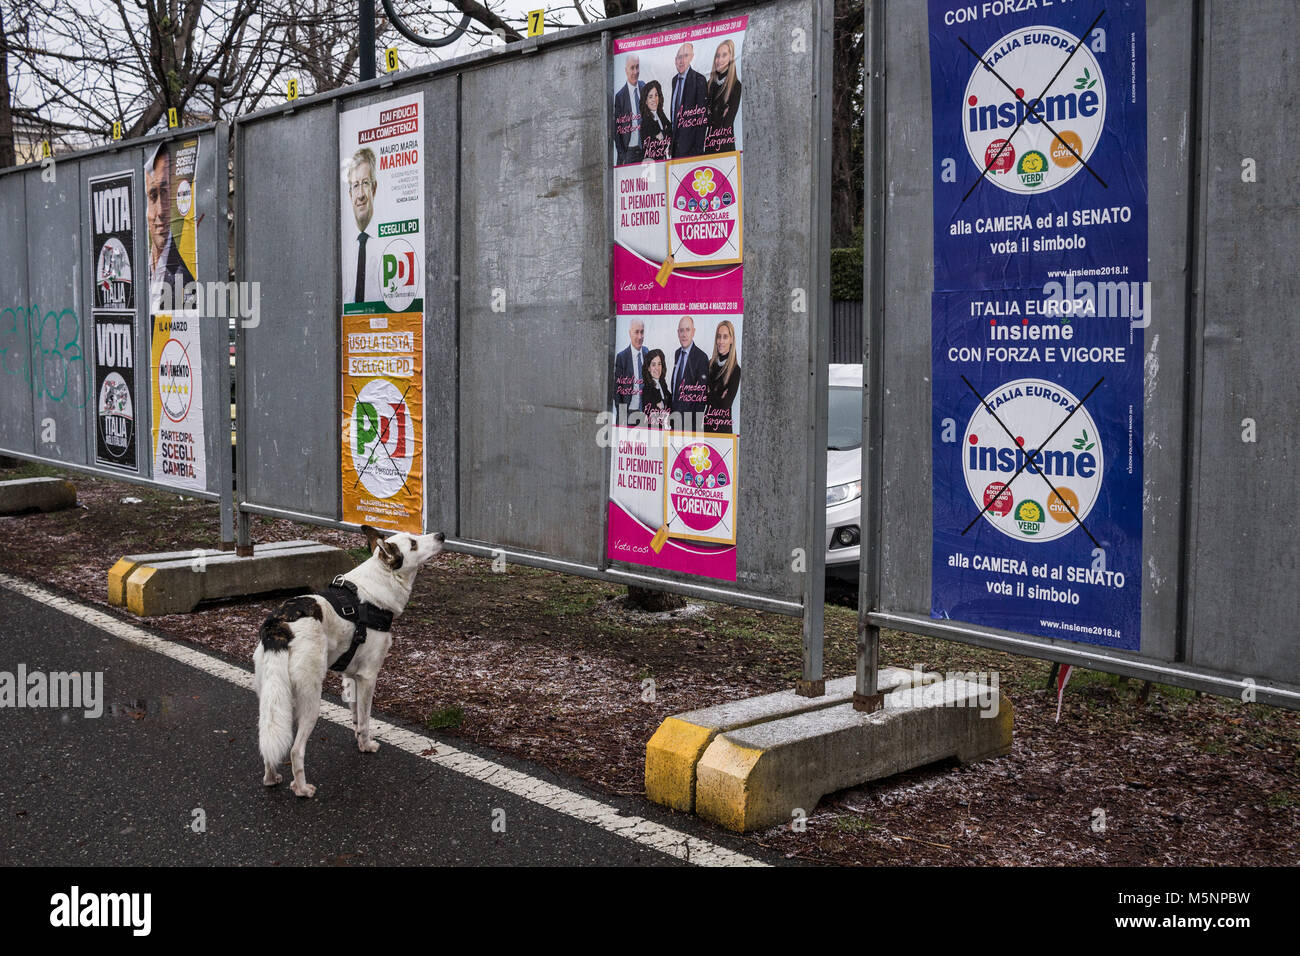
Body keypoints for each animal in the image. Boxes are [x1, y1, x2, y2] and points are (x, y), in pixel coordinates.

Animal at [253, 528, 447, 796]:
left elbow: (356, 716)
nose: (441, 535)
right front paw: (366, 746)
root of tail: (279, 625)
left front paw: (358, 740)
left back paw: (271, 778)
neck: (378, 583)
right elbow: (365, 720)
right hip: (310, 702)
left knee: (268, 741)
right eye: (413, 544)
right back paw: (302, 789)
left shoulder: (351, 676)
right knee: (295, 750)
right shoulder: (368, 676)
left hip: (272, 697)